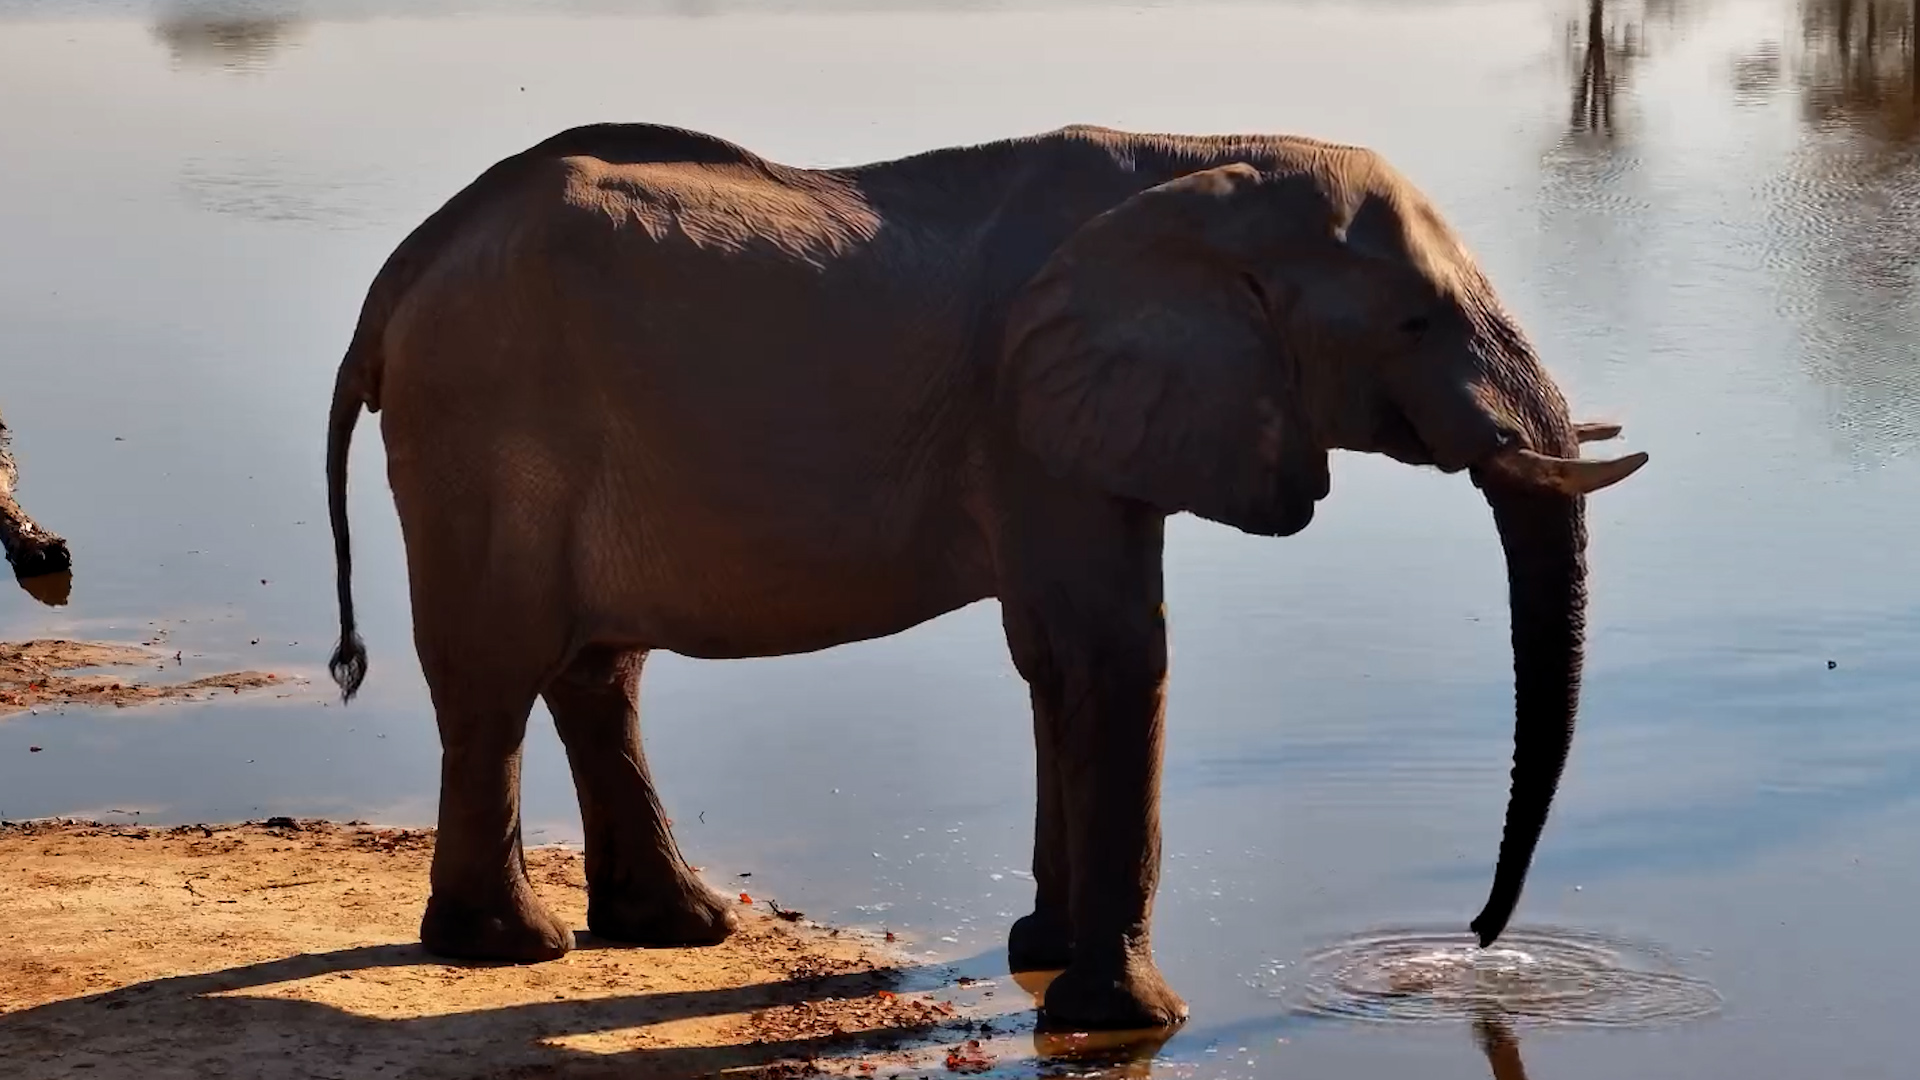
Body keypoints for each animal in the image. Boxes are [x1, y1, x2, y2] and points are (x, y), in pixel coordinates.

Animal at [322, 122, 1646, 1030]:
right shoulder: (1036, 418)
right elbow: (1117, 652)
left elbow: (1058, 659)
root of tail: (394, 280)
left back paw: (674, 929)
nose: (1479, 944)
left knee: (599, 673)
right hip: (485, 419)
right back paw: (509, 950)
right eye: (1415, 324)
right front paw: (1124, 1018)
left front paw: (1043, 955)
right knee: (495, 675)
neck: (1202, 163)